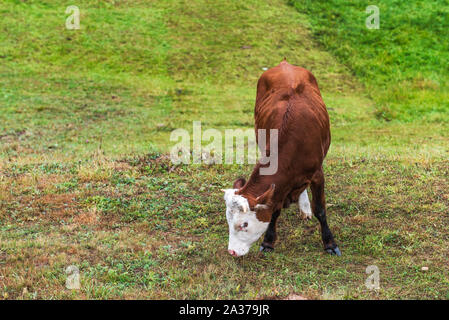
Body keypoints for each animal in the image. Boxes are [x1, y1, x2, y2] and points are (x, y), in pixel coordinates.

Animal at [222, 59, 338, 258]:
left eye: (244, 224)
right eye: (229, 221)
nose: (232, 251)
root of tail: (285, 64)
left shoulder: (317, 174)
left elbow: (321, 210)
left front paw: (329, 243)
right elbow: (274, 210)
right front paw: (268, 241)